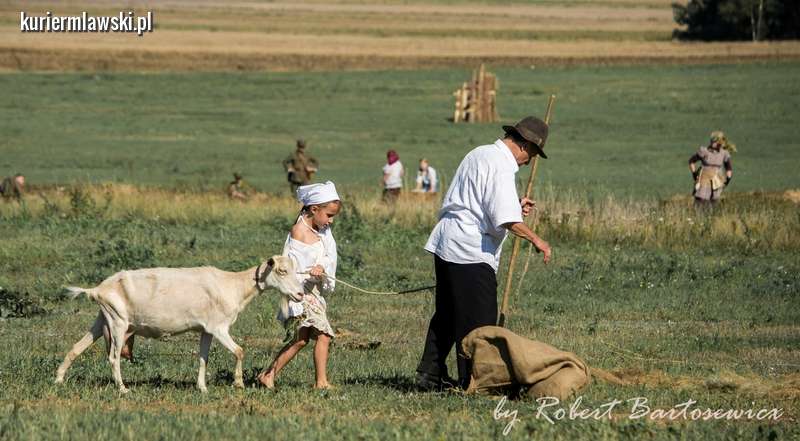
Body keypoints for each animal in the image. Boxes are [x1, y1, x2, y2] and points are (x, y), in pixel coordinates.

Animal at [55, 256, 302, 393]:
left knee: (76, 347)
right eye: (281, 271)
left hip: (102, 318)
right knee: (113, 357)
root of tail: (97, 289)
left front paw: (202, 388)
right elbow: (240, 351)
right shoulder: (219, 327)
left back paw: (58, 379)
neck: (233, 285)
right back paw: (123, 389)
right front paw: (239, 384)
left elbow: (203, 358)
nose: (300, 294)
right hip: (117, 323)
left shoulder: (206, 330)